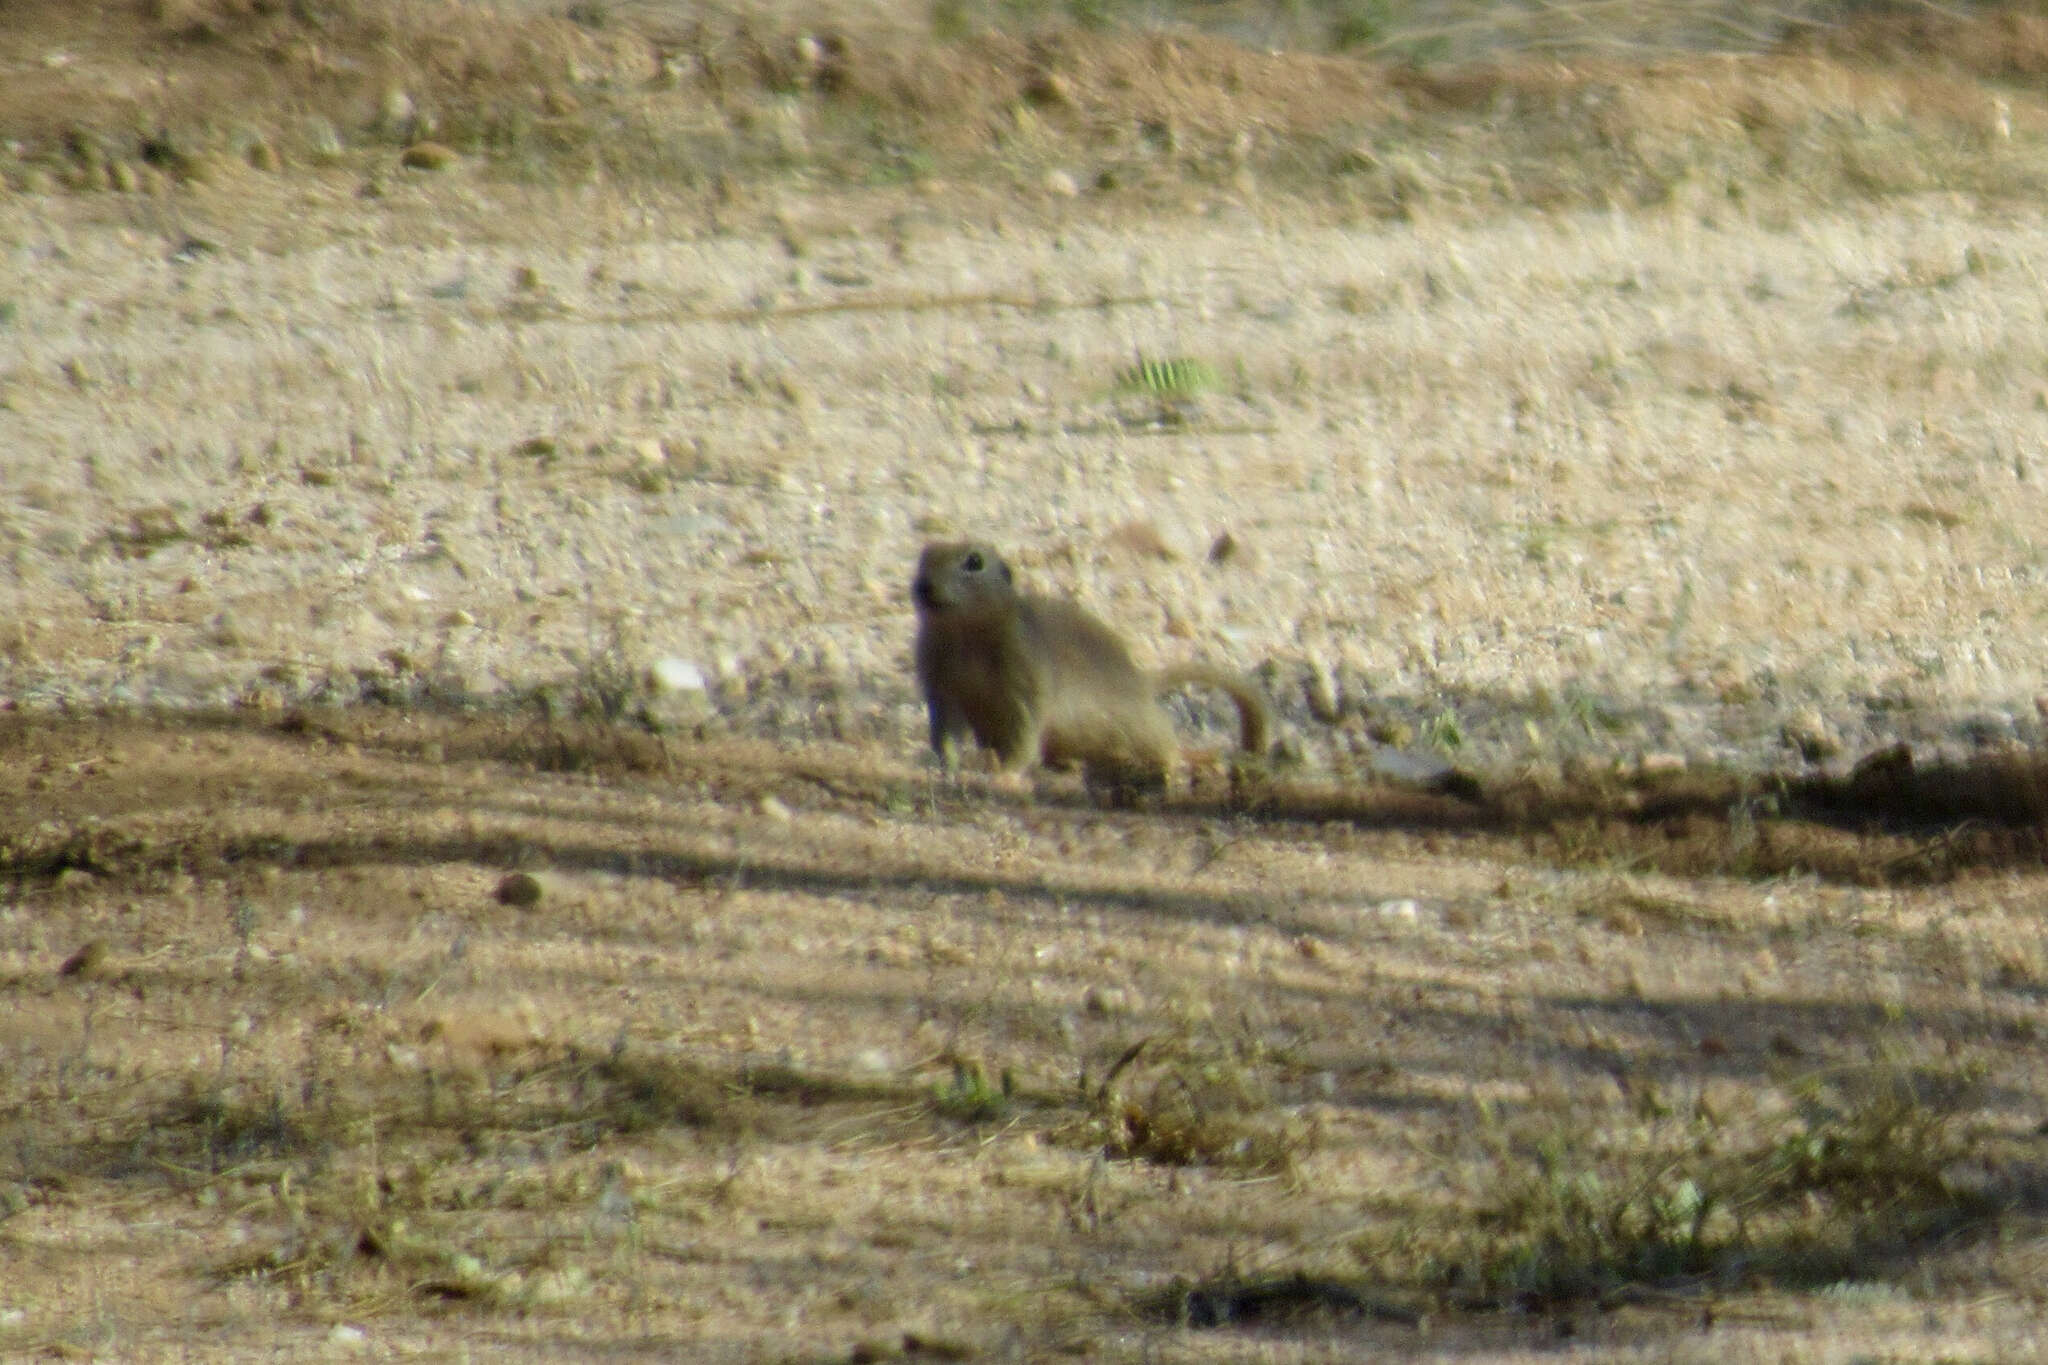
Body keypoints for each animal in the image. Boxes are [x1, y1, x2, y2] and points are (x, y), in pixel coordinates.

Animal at [909, 540, 1261, 785]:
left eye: (975, 561)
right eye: (924, 556)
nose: (923, 586)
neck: (964, 634)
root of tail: (1142, 680)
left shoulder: (1024, 671)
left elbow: (1025, 729)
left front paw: (1004, 773)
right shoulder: (939, 679)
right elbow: (945, 729)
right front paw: (944, 768)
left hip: (1139, 728)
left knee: (1170, 750)